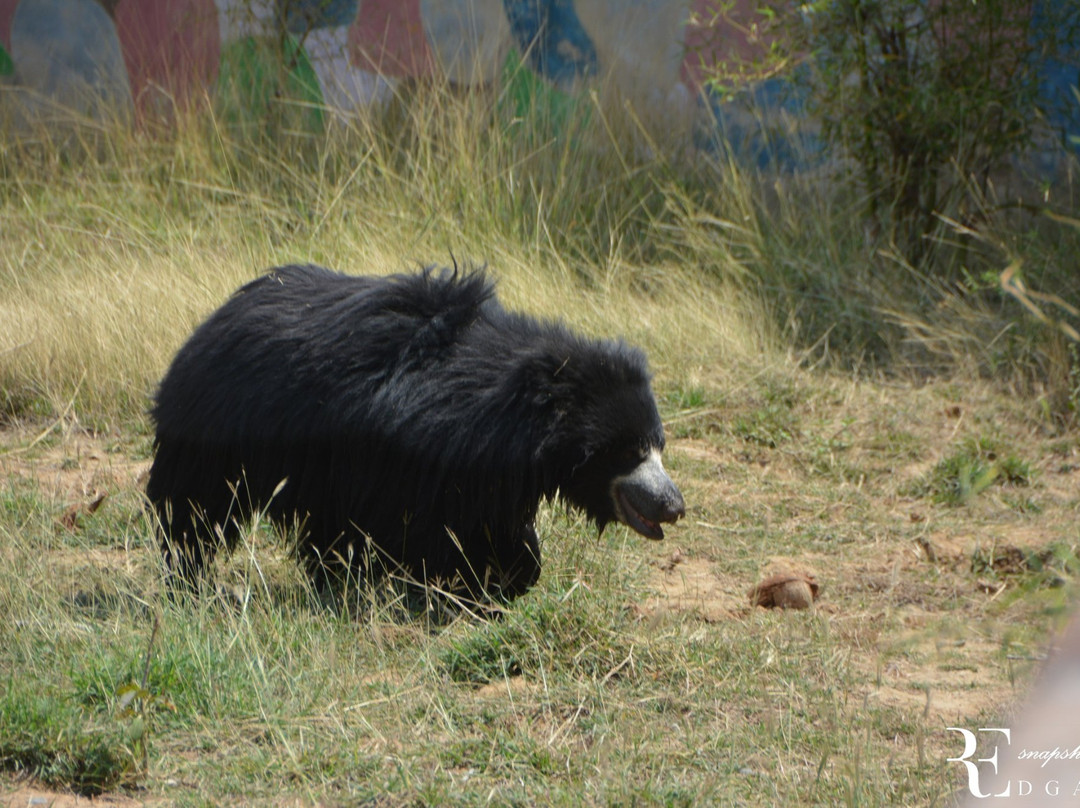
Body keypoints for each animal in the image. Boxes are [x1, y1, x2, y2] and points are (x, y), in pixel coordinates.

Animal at [146, 267, 682, 604]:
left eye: (658, 445)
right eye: (628, 451)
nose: (674, 505)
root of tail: (211, 323)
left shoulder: (480, 470)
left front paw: (500, 578)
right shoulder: (406, 455)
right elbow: (418, 525)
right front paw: (460, 583)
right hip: (218, 433)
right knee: (196, 510)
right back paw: (193, 579)